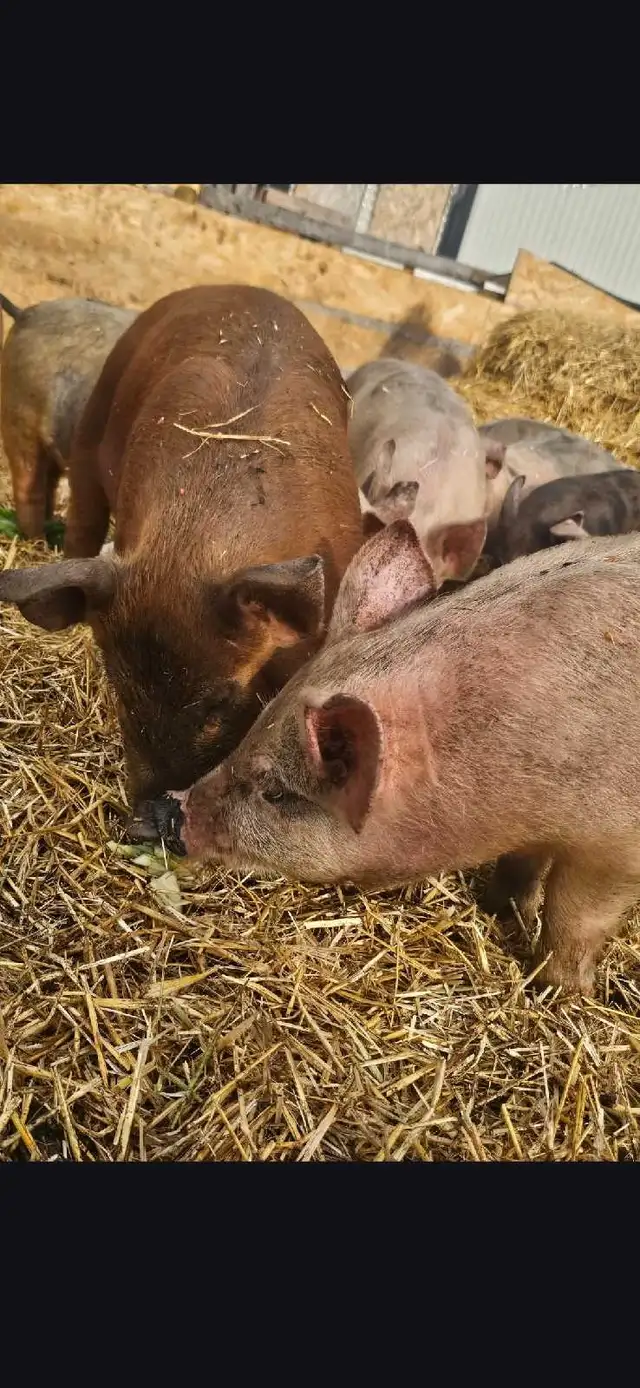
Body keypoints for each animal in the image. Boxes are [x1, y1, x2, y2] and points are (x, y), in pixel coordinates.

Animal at [158, 521, 640, 995]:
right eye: (256, 725)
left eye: (275, 792)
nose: (176, 807)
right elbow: (521, 865)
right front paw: (496, 907)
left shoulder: (612, 848)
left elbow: (575, 917)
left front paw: (558, 990)